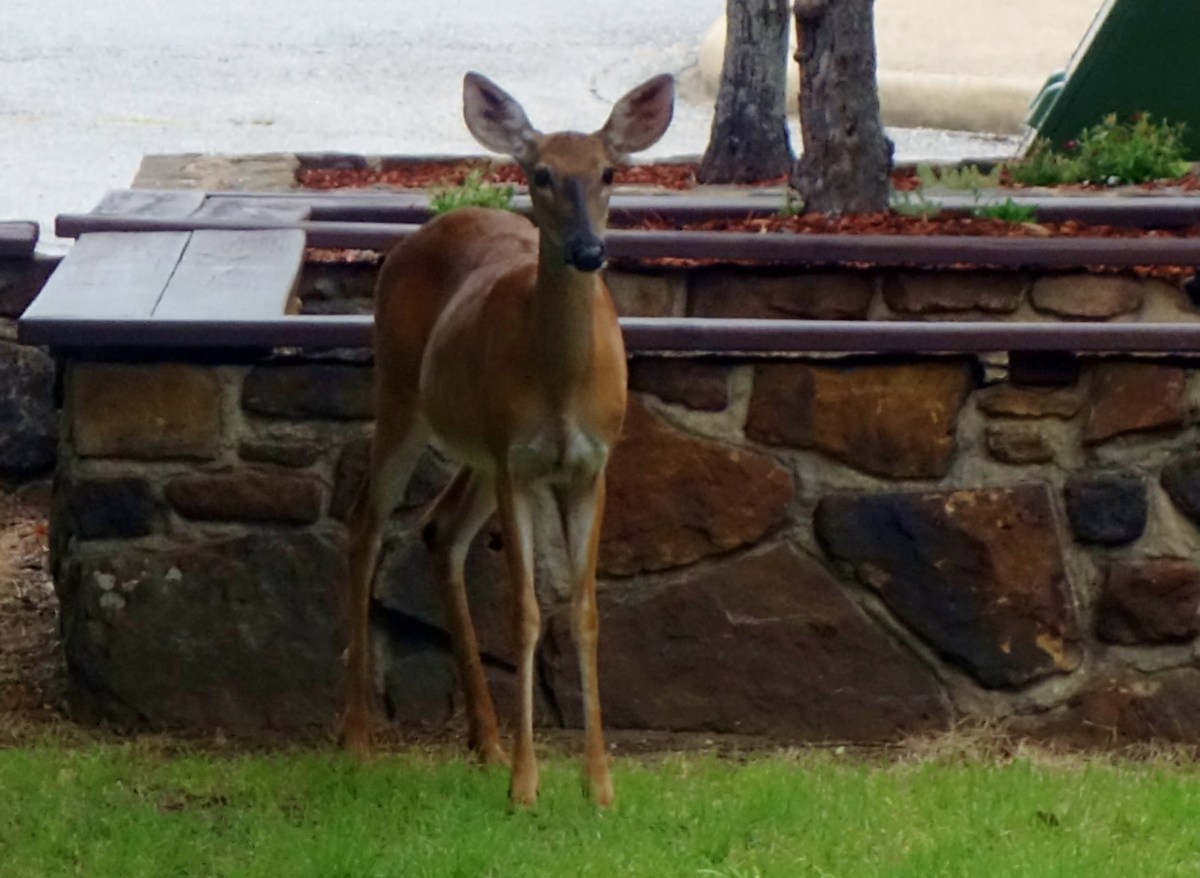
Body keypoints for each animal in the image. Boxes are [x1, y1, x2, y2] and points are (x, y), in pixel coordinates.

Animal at [340, 71, 675, 808]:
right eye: (541, 172)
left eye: (610, 171)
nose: (589, 250)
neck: (560, 386)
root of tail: (423, 232)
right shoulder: (518, 464)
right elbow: (524, 610)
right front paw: (527, 785)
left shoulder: (590, 465)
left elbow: (583, 611)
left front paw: (598, 785)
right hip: (402, 394)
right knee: (367, 524)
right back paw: (359, 739)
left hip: (477, 447)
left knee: (439, 529)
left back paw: (485, 741)